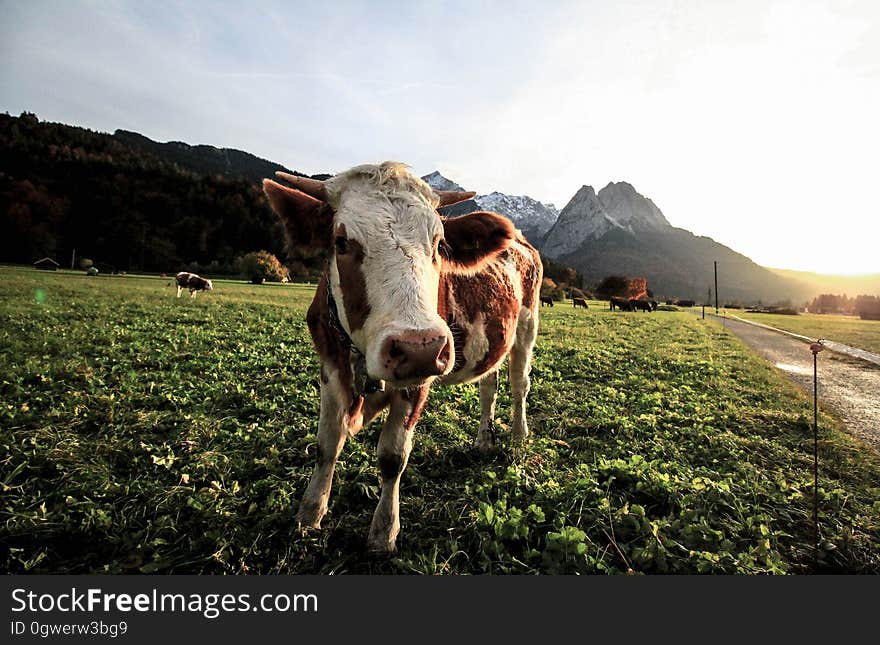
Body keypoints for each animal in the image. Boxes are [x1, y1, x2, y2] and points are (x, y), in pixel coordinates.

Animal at [260, 164, 544, 552]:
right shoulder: (330, 367)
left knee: (519, 386)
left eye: (440, 244)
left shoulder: (418, 379)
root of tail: (521, 241)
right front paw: (310, 513)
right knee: (489, 384)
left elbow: (392, 457)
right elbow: (326, 444)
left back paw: (518, 435)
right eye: (342, 242)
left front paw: (384, 532)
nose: (418, 347)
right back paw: (485, 439)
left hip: (527, 327)